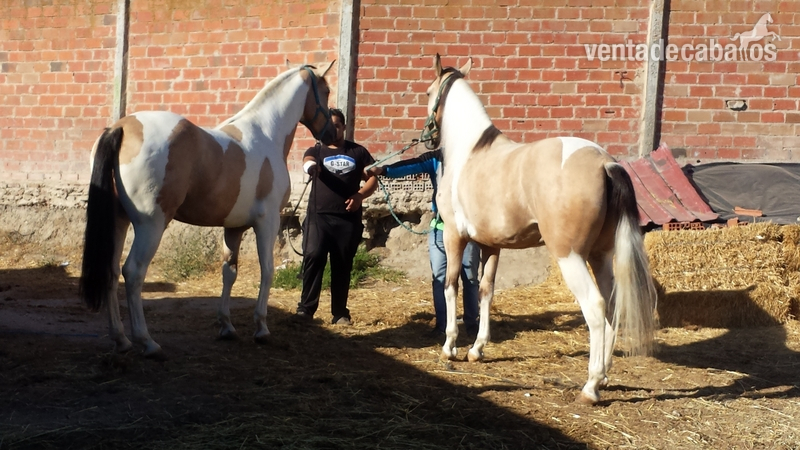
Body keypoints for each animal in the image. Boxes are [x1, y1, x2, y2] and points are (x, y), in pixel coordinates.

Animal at [80, 62, 336, 358]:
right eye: (326, 91)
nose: (333, 134)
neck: (266, 133)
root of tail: (121, 127)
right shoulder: (268, 222)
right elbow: (267, 270)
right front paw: (261, 328)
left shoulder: (234, 227)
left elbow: (229, 272)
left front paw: (226, 326)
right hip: (150, 225)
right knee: (133, 273)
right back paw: (148, 342)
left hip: (118, 221)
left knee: (110, 273)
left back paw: (121, 339)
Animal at [422, 54, 657, 405]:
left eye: (427, 93)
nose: (427, 138)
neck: (472, 151)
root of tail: (605, 163)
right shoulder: (491, 245)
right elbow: (486, 291)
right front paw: (477, 349)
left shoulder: (454, 236)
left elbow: (452, 286)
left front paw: (449, 347)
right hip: (601, 255)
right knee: (612, 304)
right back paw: (604, 375)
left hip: (570, 257)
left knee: (595, 307)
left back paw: (590, 386)